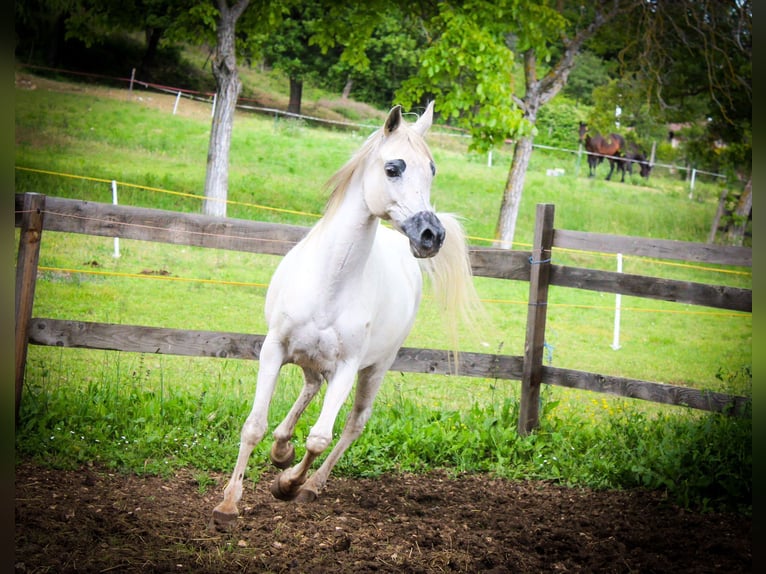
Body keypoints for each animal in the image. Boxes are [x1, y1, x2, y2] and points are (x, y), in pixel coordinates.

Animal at [211, 101, 479, 527]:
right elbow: (254, 426)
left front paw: (288, 484)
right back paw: (281, 449)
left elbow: (321, 438)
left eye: (432, 170)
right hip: (307, 356)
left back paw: (310, 484)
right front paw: (229, 503)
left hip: (377, 367)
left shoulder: (348, 367)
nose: (431, 235)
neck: (331, 281)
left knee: (354, 423)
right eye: (393, 168)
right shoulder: (273, 350)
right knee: (309, 387)